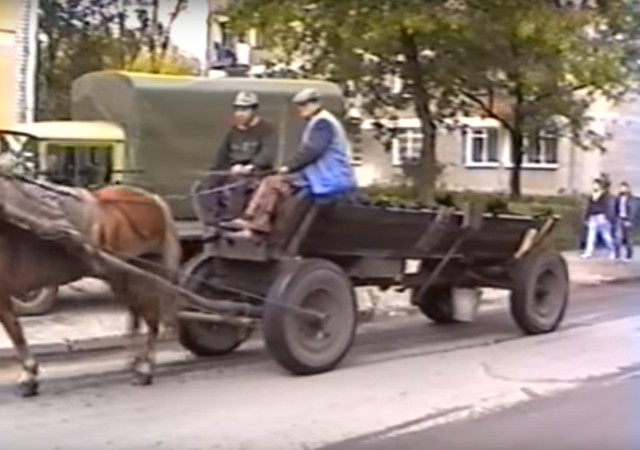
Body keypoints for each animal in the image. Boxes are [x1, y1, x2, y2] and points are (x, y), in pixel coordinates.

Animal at [0, 180, 182, 398]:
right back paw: (136, 362)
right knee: (138, 318)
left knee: (152, 321)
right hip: (123, 277)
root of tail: (152, 199)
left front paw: (29, 375)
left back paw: (144, 369)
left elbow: (15, 332)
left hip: (141, 274)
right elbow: (14, 330)